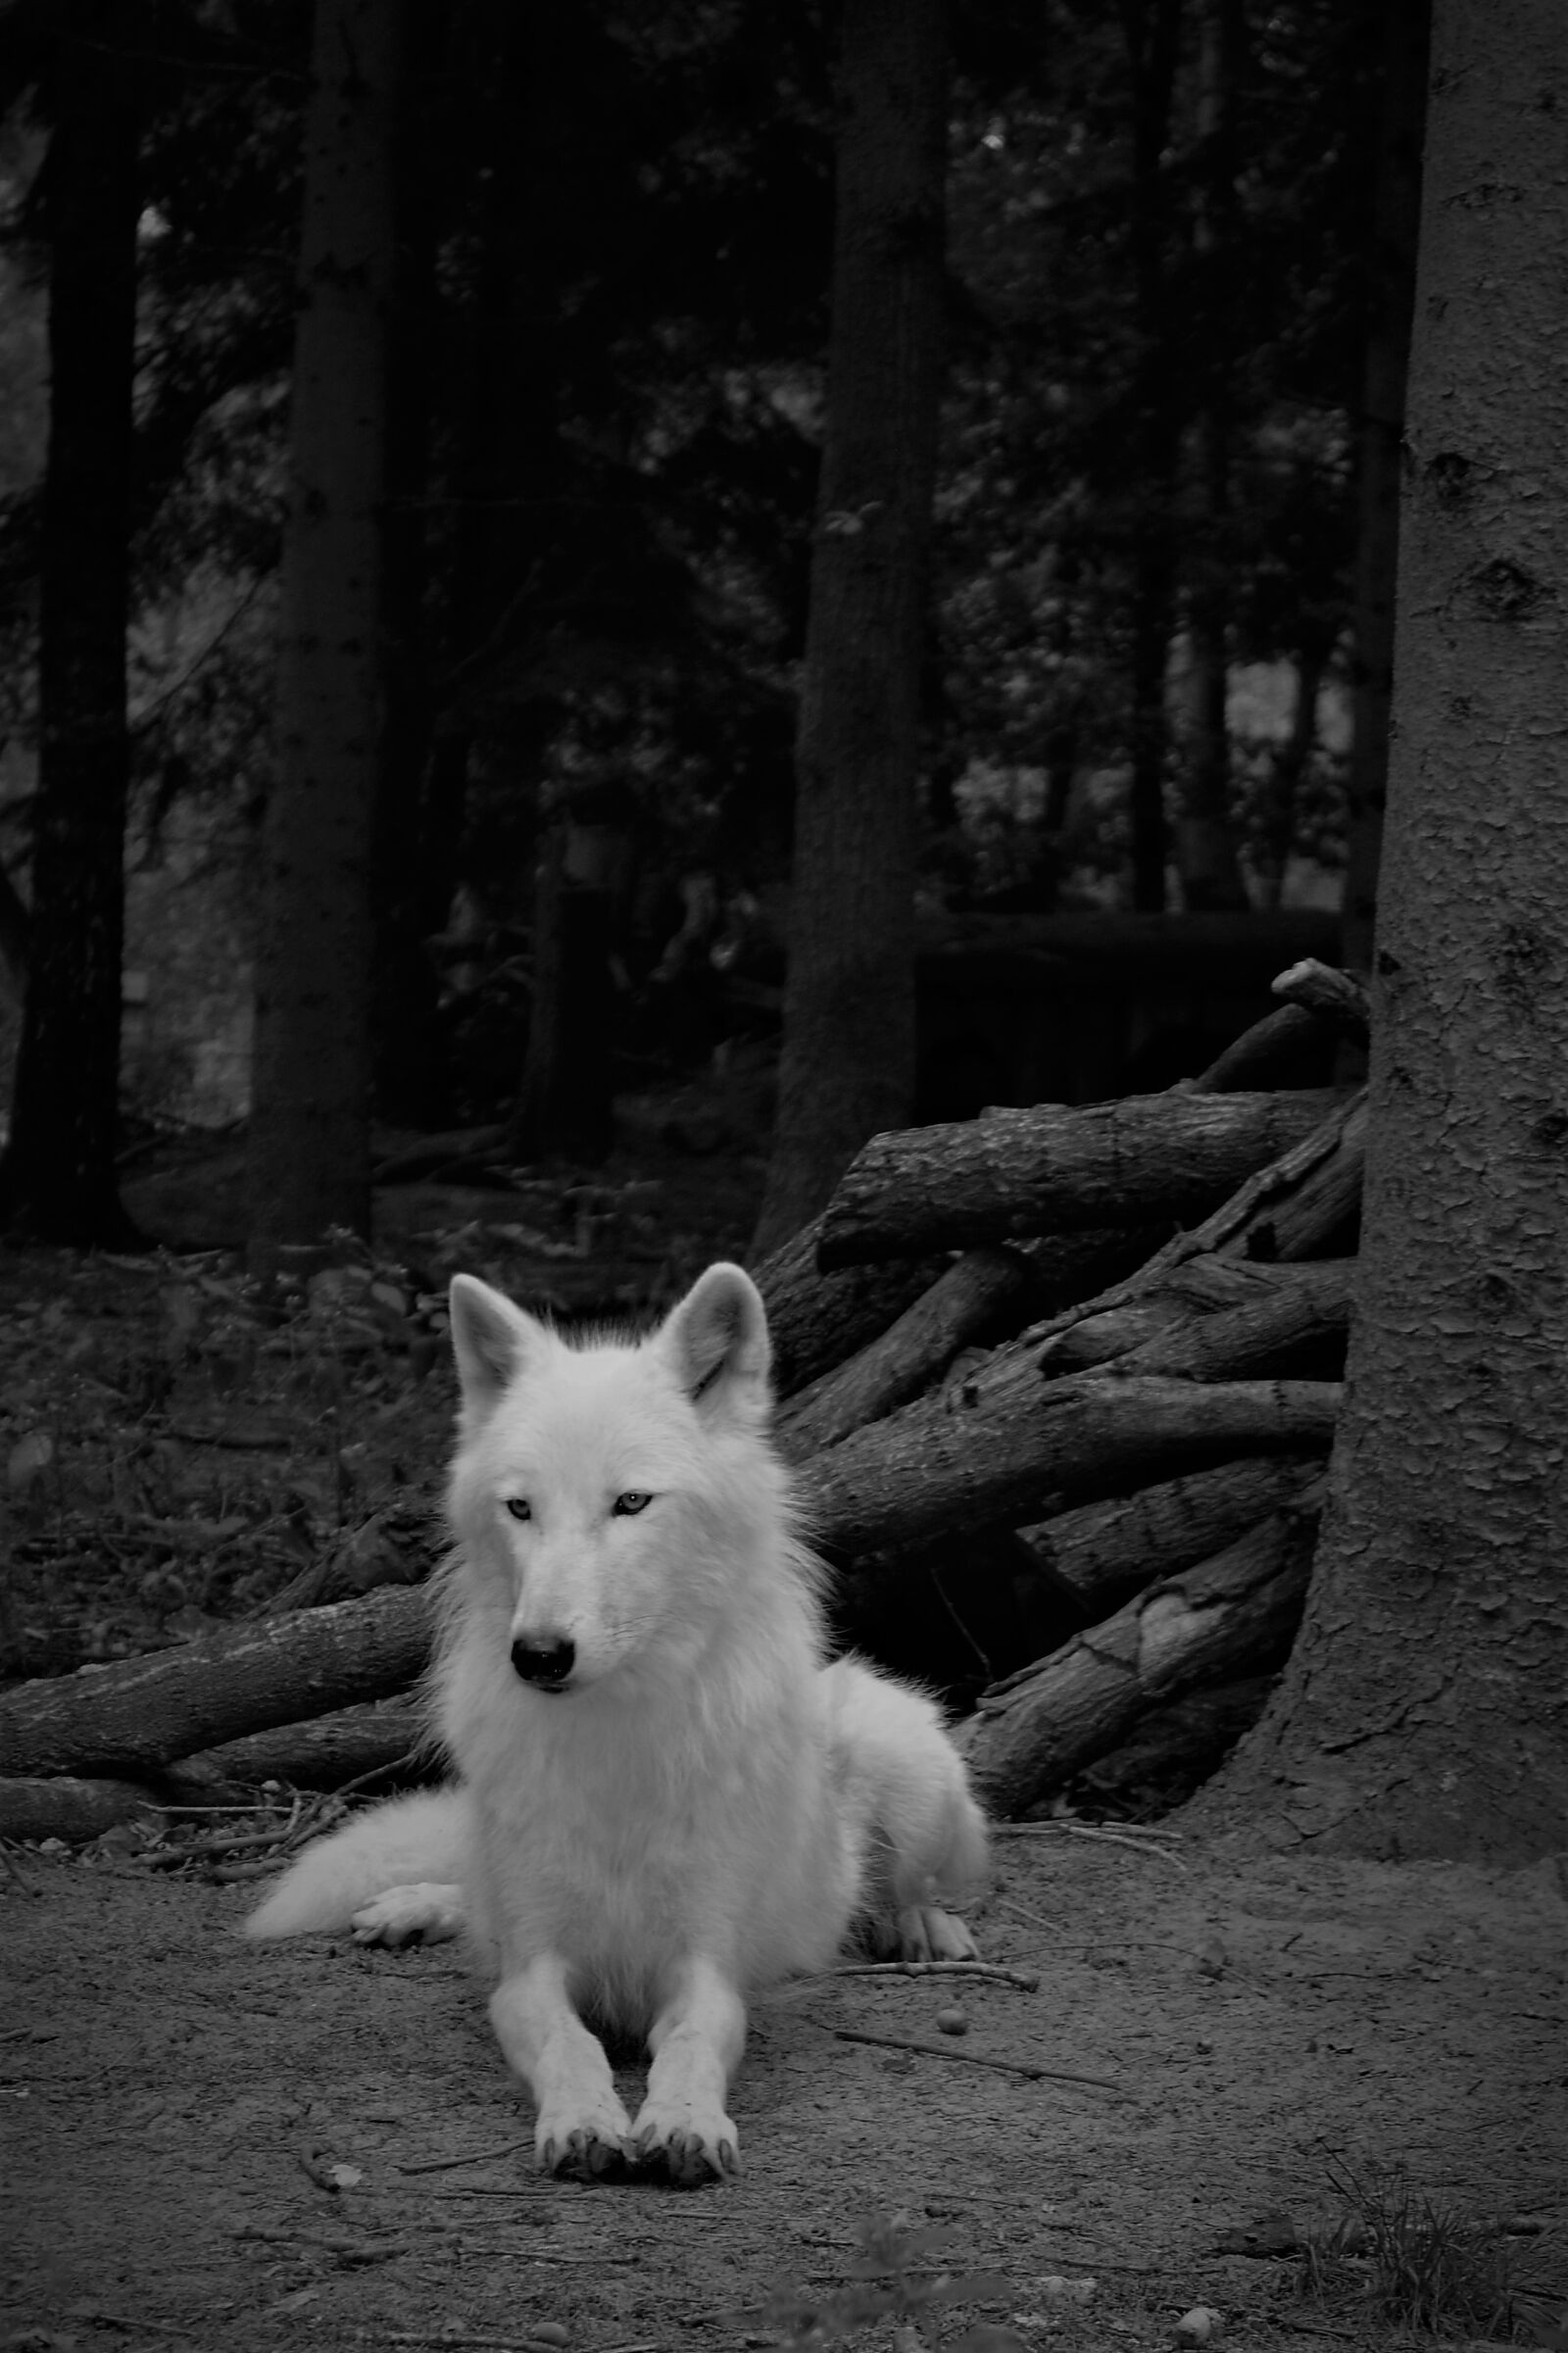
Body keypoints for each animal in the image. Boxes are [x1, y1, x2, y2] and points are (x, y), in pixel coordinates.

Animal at [245, 1261, 987, 2185]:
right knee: (471, 1891)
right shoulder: (530, 1969)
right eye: (520, 1508)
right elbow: (569, 2041)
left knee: (914, 1881)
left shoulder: (706, 1965)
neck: (615, 1732)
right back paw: (416, 1905)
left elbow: (695, 2039)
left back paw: (919, 1923)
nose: (538, 1655)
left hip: (912, 1768)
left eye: (631, 1502)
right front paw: (584, 2122)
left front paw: (682, 2121)